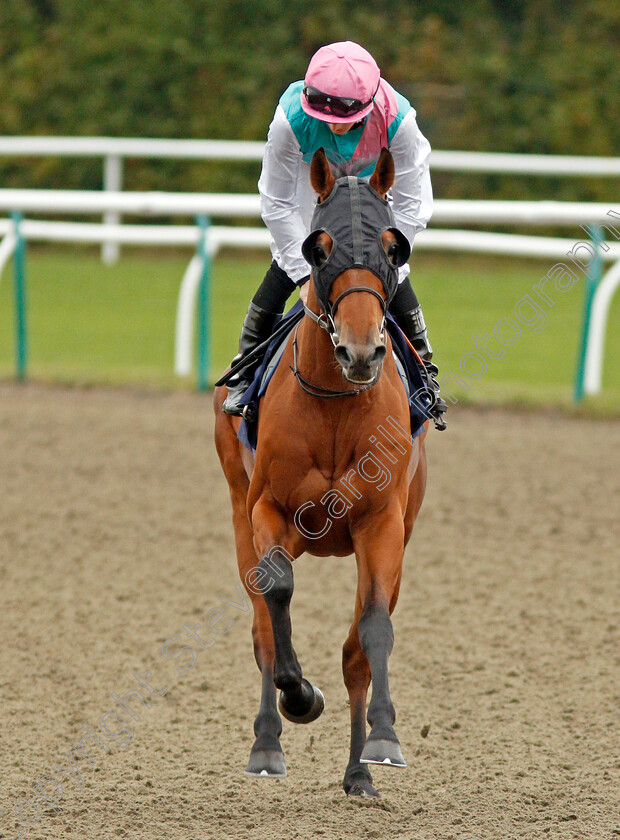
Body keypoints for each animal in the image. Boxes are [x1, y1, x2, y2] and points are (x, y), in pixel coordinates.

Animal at [213, 148, 426, 796]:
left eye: (392, 246)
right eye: (319, 247)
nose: (360, 352)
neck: (335, 405)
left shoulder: (383, 524)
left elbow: (371, 631)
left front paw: (382, 740)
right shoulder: (268, 511)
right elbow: (277, 596)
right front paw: (300, 696)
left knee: (357, 646)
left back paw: (358, 772)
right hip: (241, 516)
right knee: (263, 628)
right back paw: (267, 744)